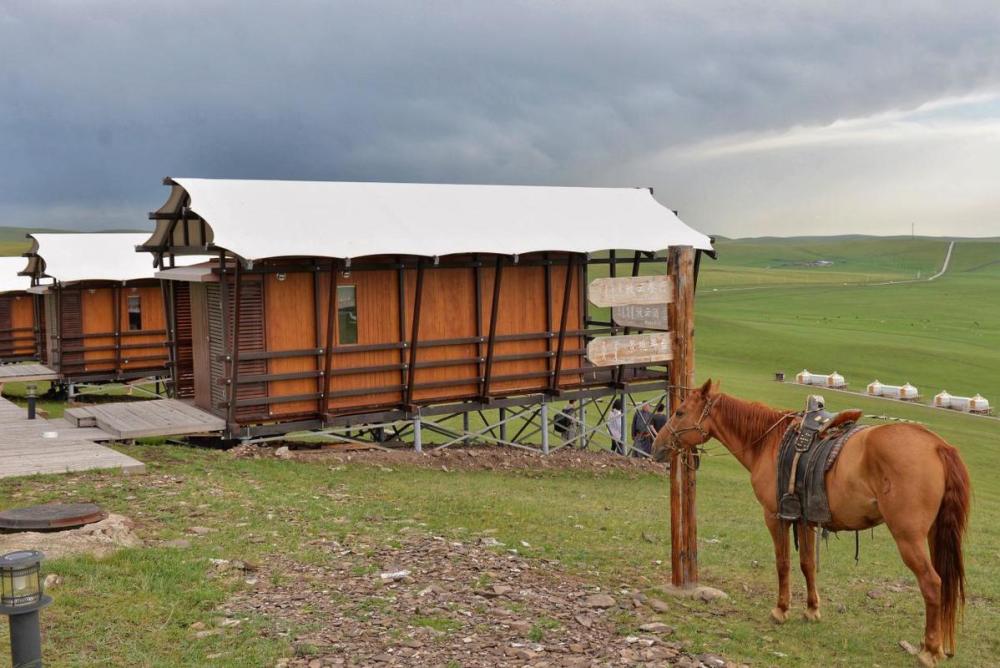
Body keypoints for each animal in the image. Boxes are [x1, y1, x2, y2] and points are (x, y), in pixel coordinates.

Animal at [648, 378, 968, 664]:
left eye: (680, 412)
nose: (656, 445)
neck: (768, 442)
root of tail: (937, 446)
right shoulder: (804, 518)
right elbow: (807, 564)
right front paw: (812, 610)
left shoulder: (775, 516)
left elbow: (783, 563)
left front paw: (781, 609)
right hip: (932, 534)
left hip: (908, 537)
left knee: (932, 583)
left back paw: (930, 651)